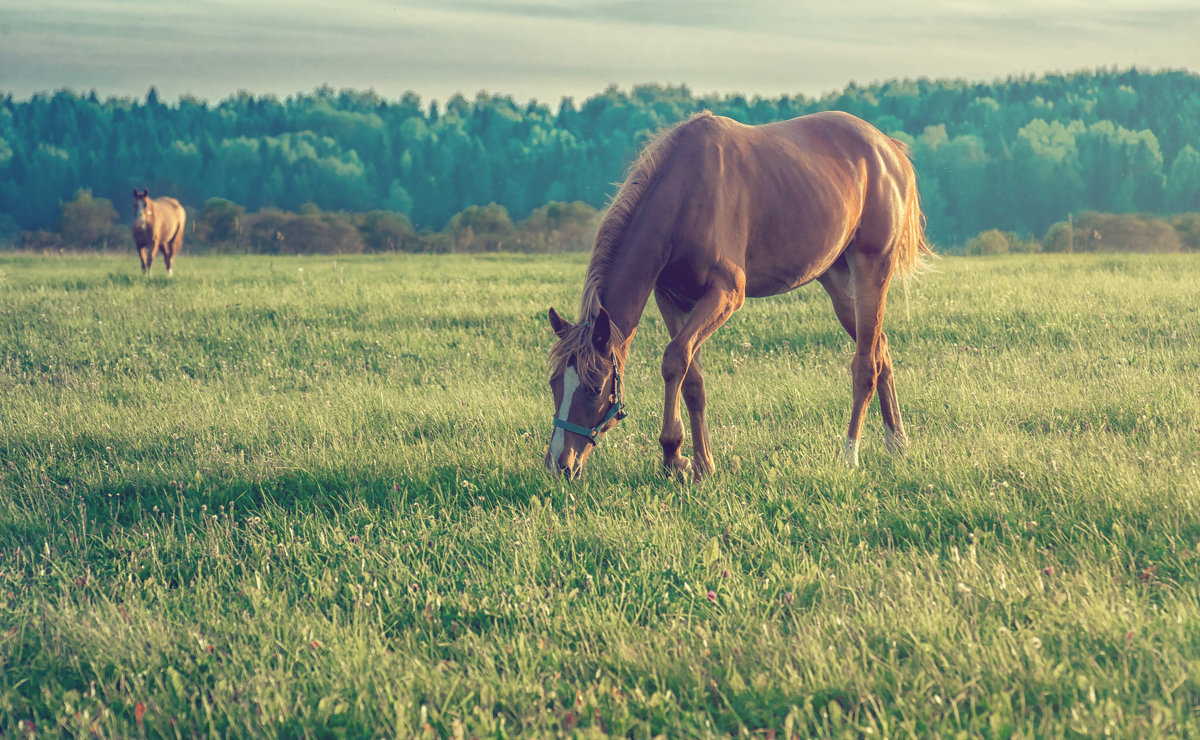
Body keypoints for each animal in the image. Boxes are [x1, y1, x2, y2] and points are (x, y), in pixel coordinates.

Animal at [549, 109, 931, 479]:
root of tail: (889, 149)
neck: (684, 197)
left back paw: (849, 455)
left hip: (871, 270)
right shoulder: (673, 300)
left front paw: (673, 455)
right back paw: (897, 443)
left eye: (594, 388)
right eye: (554, 383)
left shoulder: (725, 295)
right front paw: (702, 464)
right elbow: (691, 378)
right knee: (880, 348)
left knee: (865, 363)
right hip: (837, 283)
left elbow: (674, 360)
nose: (559, 464)